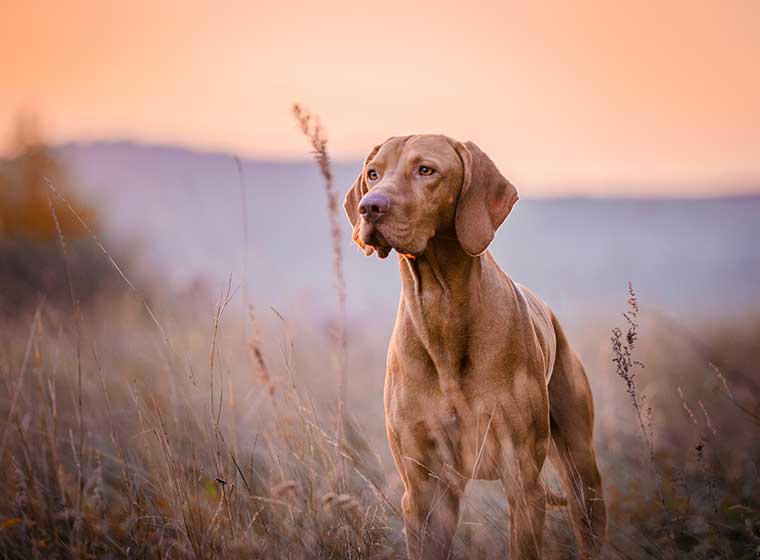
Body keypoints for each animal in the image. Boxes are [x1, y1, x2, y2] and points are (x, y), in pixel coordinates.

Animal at [344, 136, 604, 560]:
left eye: (426, 170)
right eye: (373, 173)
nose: (370, 206)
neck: (441, 309)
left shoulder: (522, 481)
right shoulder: (424, 490)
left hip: (582, 470)